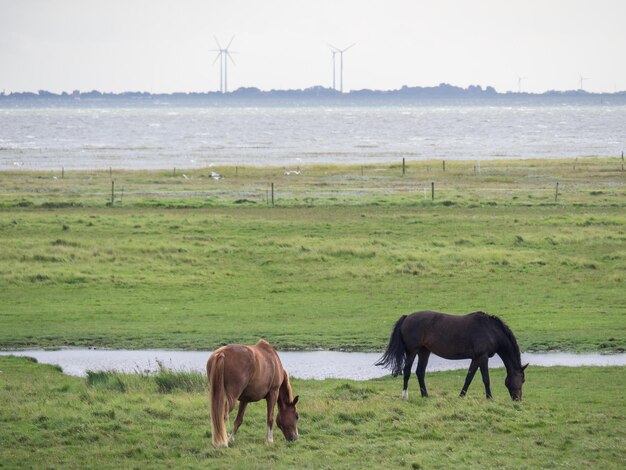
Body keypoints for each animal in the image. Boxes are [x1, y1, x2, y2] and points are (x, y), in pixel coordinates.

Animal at [376, 312, 528, 400]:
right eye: (522, 379)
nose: (518, 399)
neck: (490, 330)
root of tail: (406, 317)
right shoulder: (482, 357)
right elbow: (486, 379)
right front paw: (489, 398)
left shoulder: (476, 359)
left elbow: (469, 378)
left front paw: (461, 396)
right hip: (412, 351)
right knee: (407, 371)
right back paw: (405, 396)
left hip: (424, 351)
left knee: (420, 372)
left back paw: (425, 395)